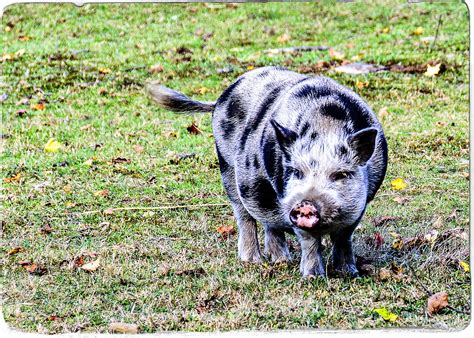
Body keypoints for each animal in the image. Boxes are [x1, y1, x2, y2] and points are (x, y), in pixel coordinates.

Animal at [148, 66, 388, 278]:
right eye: (296, 172)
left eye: (341, 174)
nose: (305, 204)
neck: (326, 127)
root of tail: (220, 99)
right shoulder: (288, 199)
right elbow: (309, 241)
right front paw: (313, 277)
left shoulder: (359, 205)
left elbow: (344, 237)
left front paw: (349, 273)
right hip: (230, 170)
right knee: (245, 216)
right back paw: (255, 260)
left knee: (268, 222)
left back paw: (280, 260)